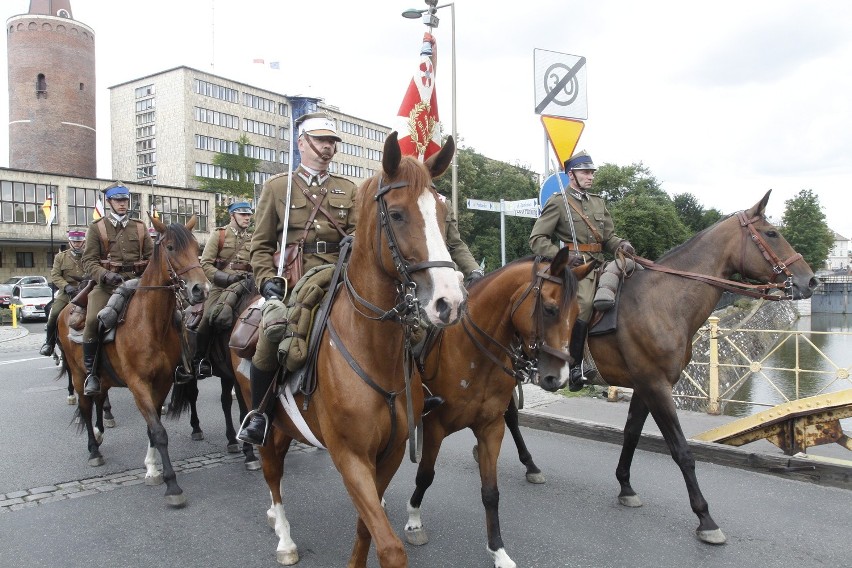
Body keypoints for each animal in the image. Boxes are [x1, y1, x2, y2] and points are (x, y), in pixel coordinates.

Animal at [57, 216, 208, 506]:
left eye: (197, 249)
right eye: (170, 247)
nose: (201, 289)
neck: (149, 324)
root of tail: (67, 309)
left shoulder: (161, 383)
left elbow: (153, 428)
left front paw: (152, 468)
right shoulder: (138, 384)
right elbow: (159, 431)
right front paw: (172, 485)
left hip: (103, 377)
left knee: (99, 399)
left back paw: (101, 431)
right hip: (79, 375)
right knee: (85, 406)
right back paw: (94, 450)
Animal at [233, 134, 466, 568]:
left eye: (444, 214)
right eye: (397, 214)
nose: (451, 302)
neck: (373, 348)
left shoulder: (389, 455)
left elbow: (367, 526)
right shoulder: (350, 456)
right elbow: (389, 547)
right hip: (267, 425)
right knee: (273, 476)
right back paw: (284, 538)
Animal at [402, 252, 588, 568]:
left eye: (577, 314)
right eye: (550, 309)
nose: (559, 378)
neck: (473, 354)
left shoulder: (491, 427)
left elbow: (490, 492)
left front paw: (498, 550)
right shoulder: (435, 426)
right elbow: (425, 475)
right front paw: (414, 520)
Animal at [524, 192, 824, 544]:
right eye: (772, 233)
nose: (811, 280)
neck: (665, 301)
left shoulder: (645, 385)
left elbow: (631, 434)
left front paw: (625, 486)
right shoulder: (657, 386)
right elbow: (682, 450)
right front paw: (705, 518)